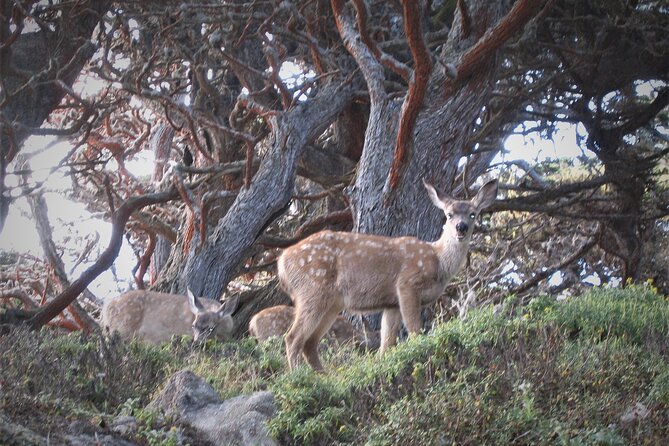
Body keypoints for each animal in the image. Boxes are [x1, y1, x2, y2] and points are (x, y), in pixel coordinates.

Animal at [276, 179, 496, 372]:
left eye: (473, 214)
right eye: (449, 214)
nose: (461, 227)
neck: (438, 261)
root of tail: (282, 262)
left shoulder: (391, 303)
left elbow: (386, 343)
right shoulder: (407, 284)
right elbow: (414, 329)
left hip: (332, 303)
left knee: (310, 342)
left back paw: (324, 377)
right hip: (313, 289)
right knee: (293, 337)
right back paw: (298, 376)